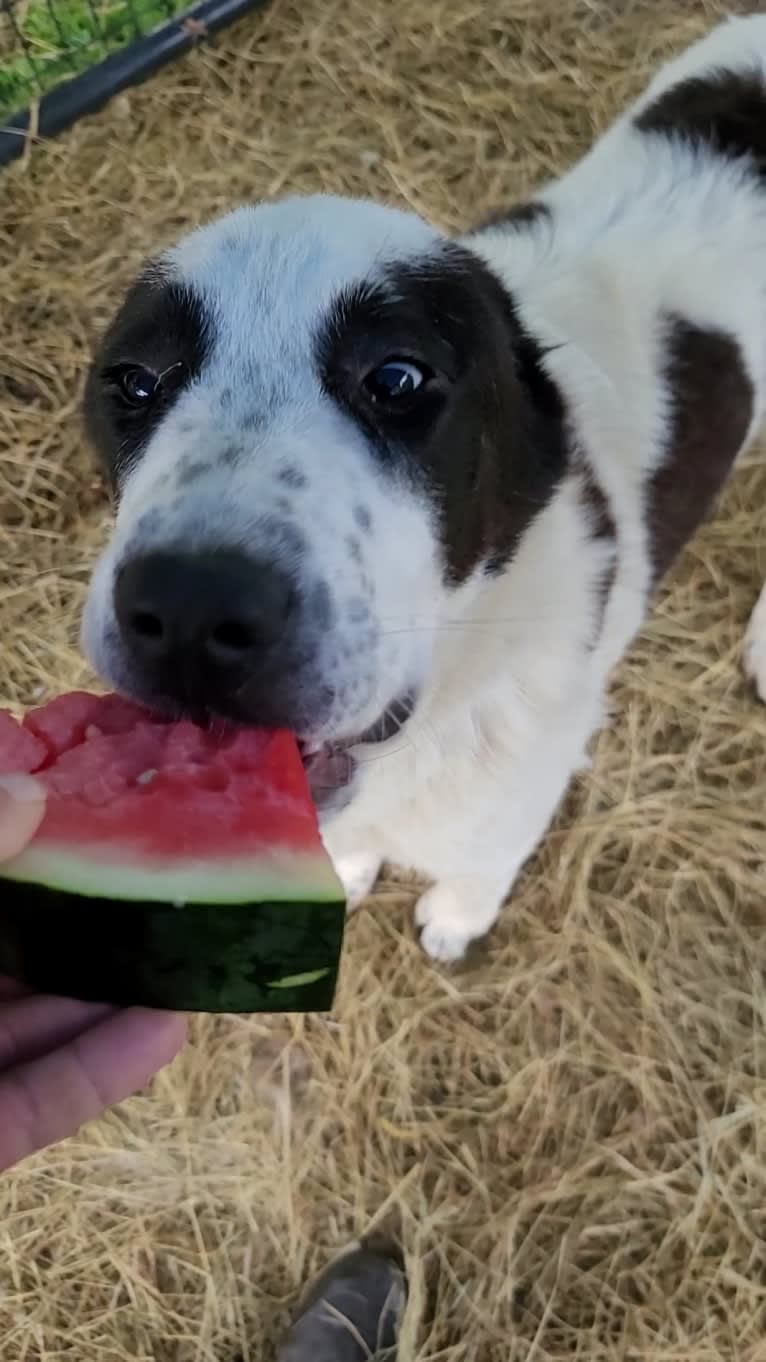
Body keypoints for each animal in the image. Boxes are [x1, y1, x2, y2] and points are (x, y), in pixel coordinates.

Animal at [80, 16, 763, 964]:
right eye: (134, 383)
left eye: (397, 378)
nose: (187, 609)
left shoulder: (526, 784)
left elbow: (482, 865)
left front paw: (456, 920)